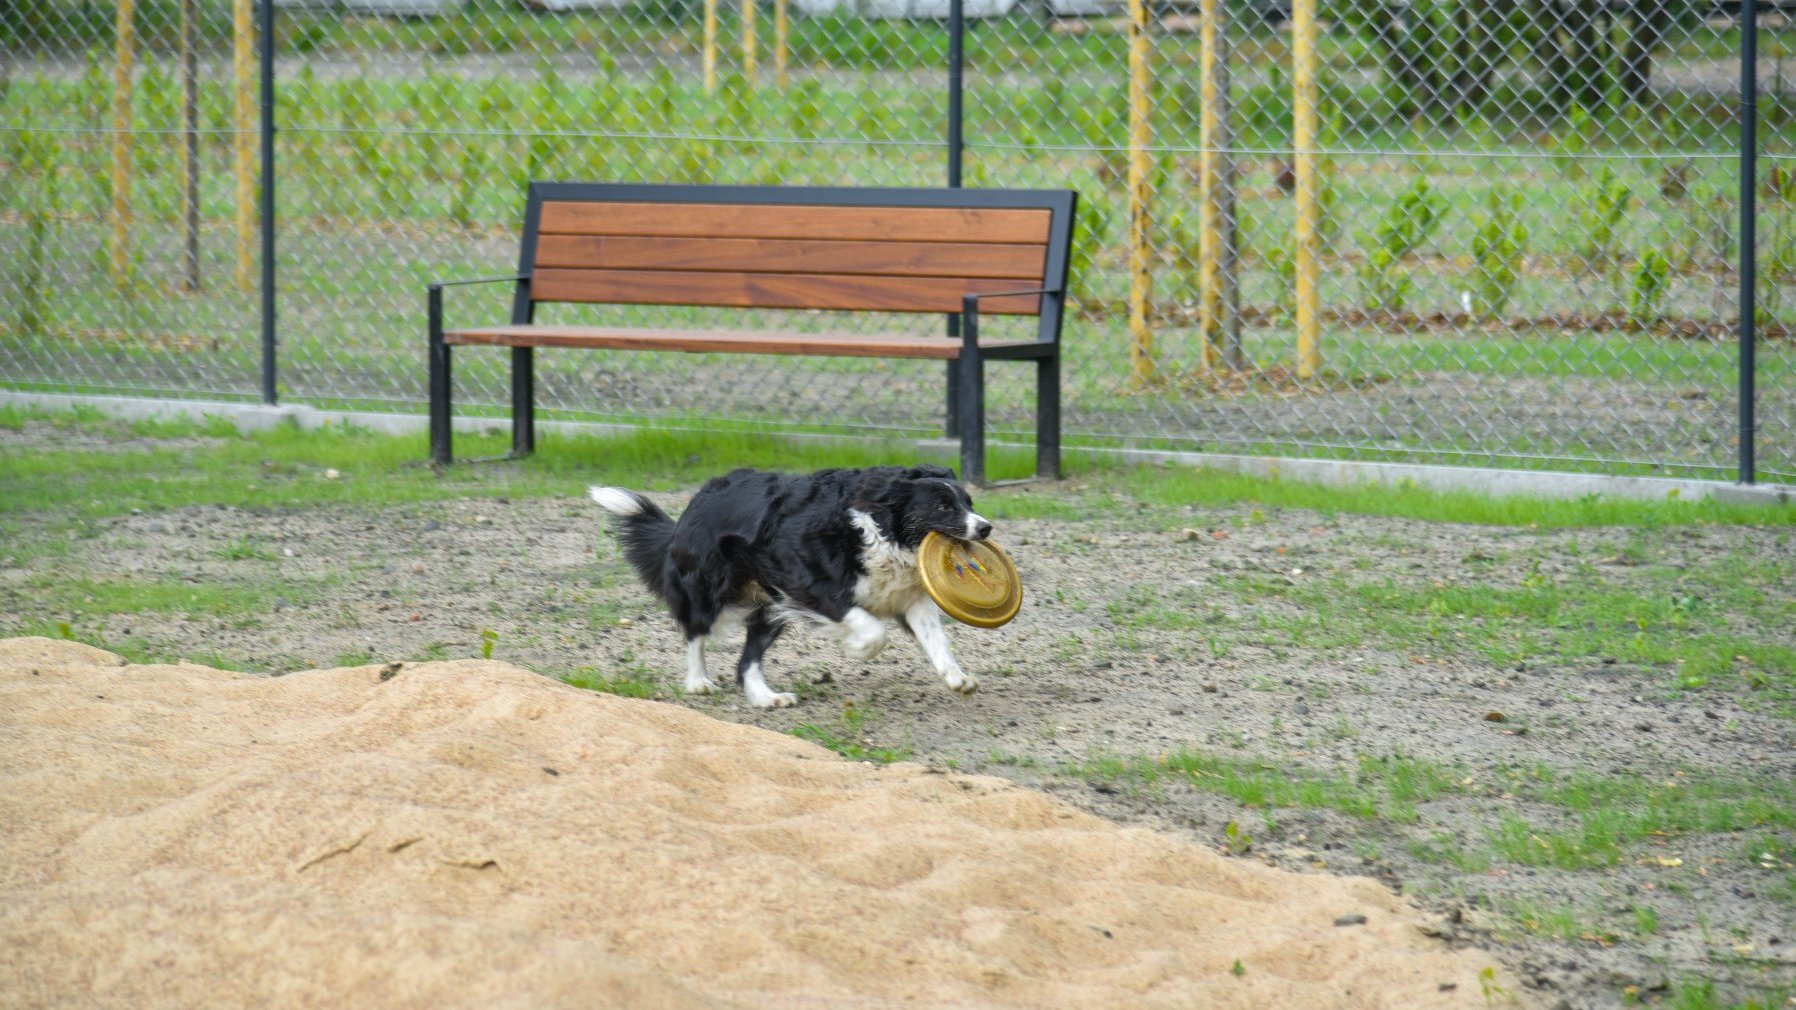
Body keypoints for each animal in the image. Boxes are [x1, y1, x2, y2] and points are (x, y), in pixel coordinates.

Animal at [589, 463, 991, 708]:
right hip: (710, 588)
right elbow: (873, 629)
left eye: (969, 501)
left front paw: (957, 678)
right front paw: (859, 649)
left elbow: (935, 638)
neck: (884, 530)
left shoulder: (908, 594)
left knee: (748, 658)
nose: (986, 528)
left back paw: (766, 697)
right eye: (943, 506)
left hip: (767, 607)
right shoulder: (810, 583)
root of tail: (694, 504)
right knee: (695, 632)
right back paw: (698, 681)